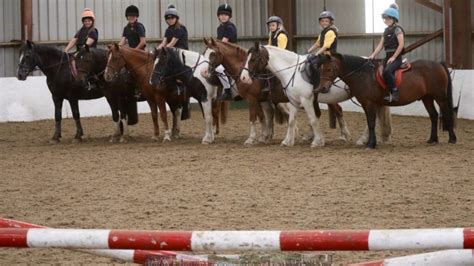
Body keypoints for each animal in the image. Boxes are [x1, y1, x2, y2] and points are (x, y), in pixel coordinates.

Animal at [201, 37, 352, 144]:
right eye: (204, 53)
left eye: (213, 54)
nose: (204, 72)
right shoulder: (263, 100)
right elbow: (265, 117)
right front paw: (265, 136)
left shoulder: (252, 99)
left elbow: (254, 118)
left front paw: (252, 138)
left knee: (338, 110)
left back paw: (344, 134)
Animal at [239, 43, 390, 148]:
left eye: (253, 59)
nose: (244, 77)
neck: (292, 71)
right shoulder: (293, 101)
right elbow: (291, 121)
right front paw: (287, 141)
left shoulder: (306, 100)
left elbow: (312, 119)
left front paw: (318, 141)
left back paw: (363, 140)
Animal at [314, 53, 456, 150]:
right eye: (320, 69)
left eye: (329, 69)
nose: (322, 88)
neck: (363, 75)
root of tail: (439, 64)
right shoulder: (366, 104)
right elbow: (370, 123)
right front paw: (371, 142)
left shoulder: (369, 103)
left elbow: (371, 123)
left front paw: (371, 144)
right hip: (427, 98)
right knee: (434, 116)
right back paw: (432, 139)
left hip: (440, 97)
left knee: (447, 114)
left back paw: (452, 139)